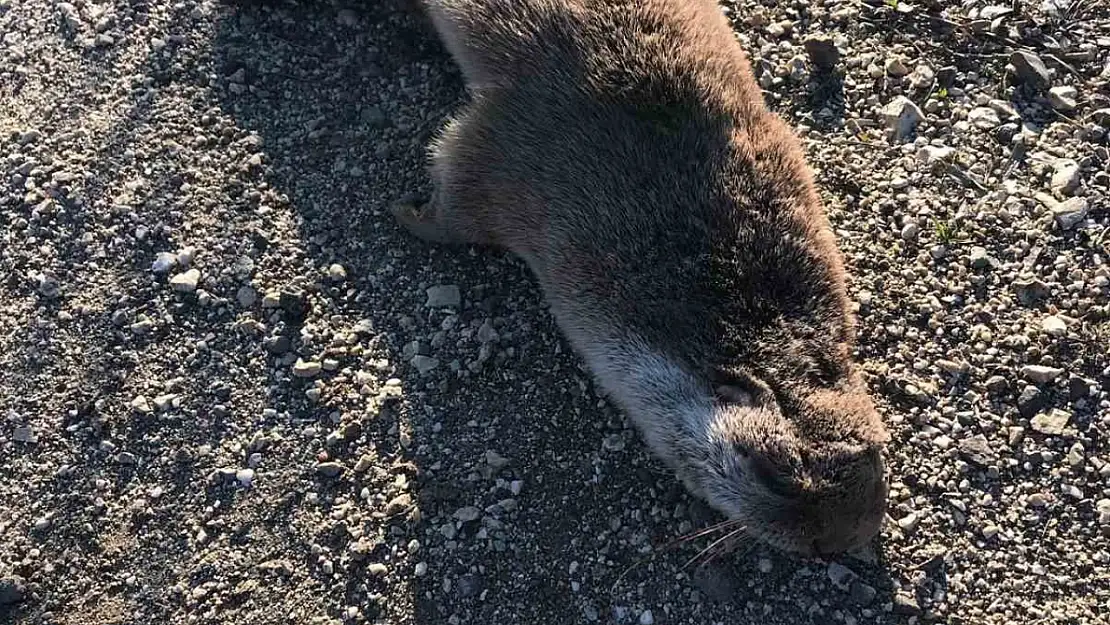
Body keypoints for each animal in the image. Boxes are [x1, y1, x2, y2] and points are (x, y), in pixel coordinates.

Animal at [392, 0, 892, 557]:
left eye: (878, 467)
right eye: (776, 477)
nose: (841, 540)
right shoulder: (513, 166)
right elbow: (451, 201)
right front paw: (406, 211)